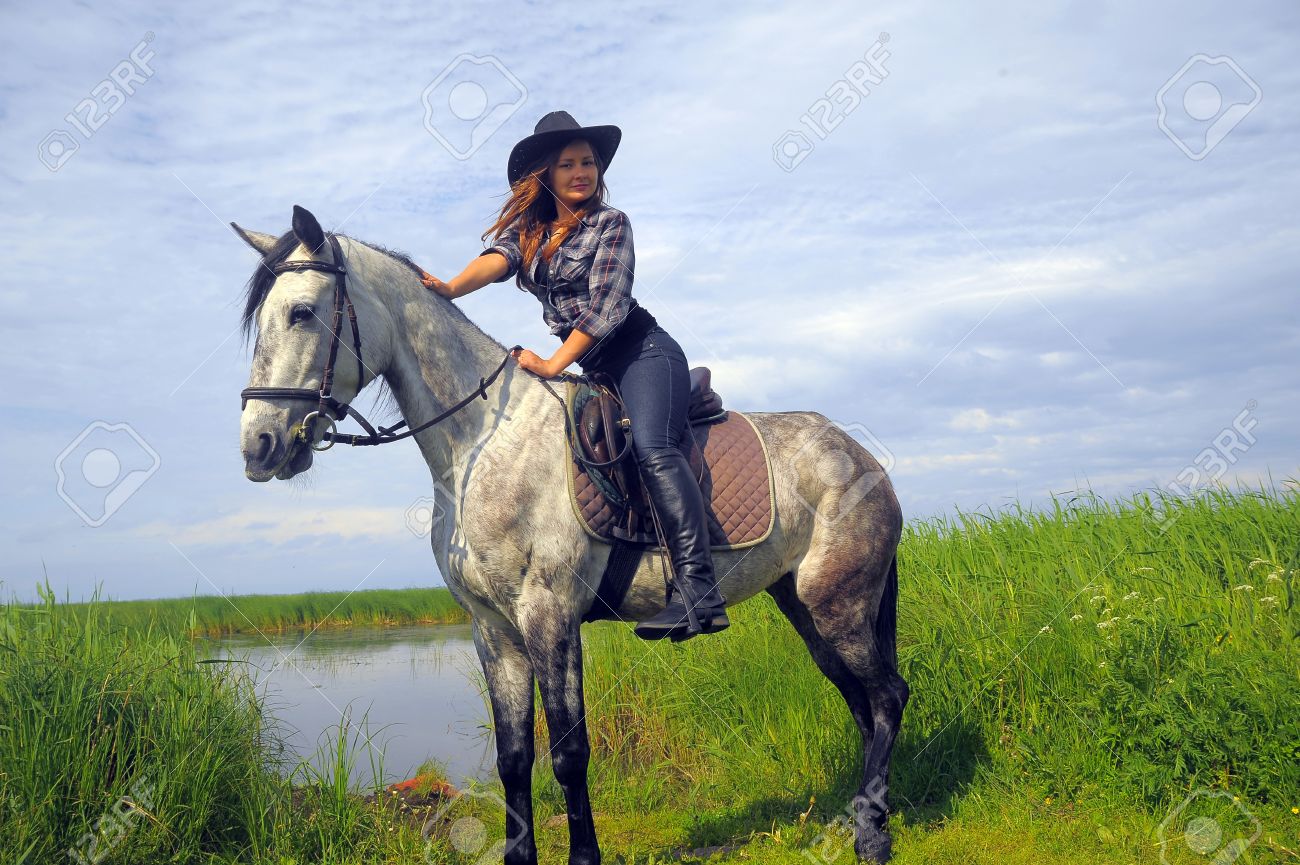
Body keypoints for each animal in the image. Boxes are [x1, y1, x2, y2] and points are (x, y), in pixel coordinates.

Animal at [233, 205, 908, 864]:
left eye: (301, 312)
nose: (258, 448)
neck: (480, 442)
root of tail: (862, 457)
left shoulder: (549, 613)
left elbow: (568, 752)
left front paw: (584, 855)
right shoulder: (494, 629)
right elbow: (514, 759)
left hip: (840, 605)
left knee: (887, 697)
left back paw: (872, 836)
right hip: (803, 604)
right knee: (862, 703)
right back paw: (866, 814)